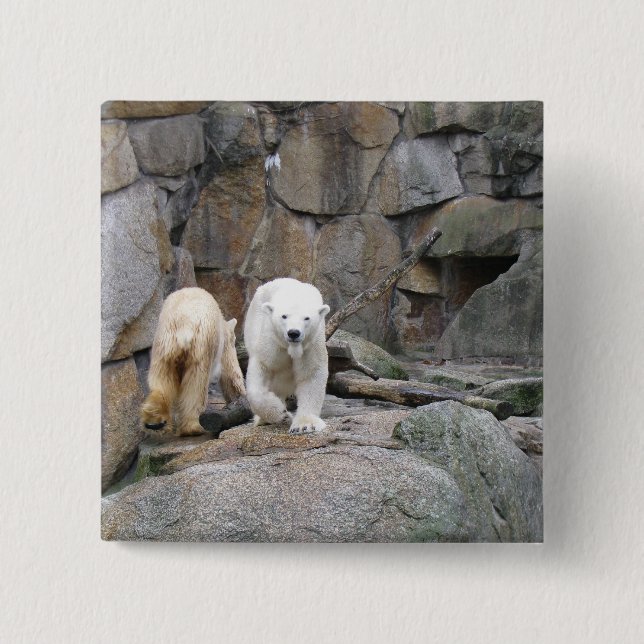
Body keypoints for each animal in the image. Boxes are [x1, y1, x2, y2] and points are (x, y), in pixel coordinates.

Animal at [140, 287, 246, 436]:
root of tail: (184, 325)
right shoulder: (223, 344)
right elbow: (230, 373)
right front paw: (241, 397)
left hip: (163, 346)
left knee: (162, 381)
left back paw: (154, 421)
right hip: (201, 346)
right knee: (196, 384)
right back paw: (194, 427)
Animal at [244, 278, 330, 434]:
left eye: (306, 318)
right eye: (284, 316)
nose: (293, 333)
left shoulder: (311, 344)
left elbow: (311, 373)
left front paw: (305, 425)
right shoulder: (272, 341)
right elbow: (263, 367)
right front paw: (279, 413)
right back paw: (264, 419)